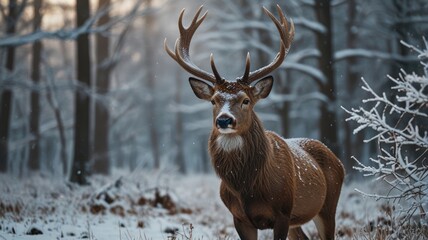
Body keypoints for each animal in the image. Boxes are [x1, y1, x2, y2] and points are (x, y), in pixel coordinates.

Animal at [164, 4, 344, 240]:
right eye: (214, 100)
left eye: (246, 100)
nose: (224, 120)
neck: (246, 187)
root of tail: (338, 161)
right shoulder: (239, 217)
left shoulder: (283, 212)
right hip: (299, 219)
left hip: (327, 206)